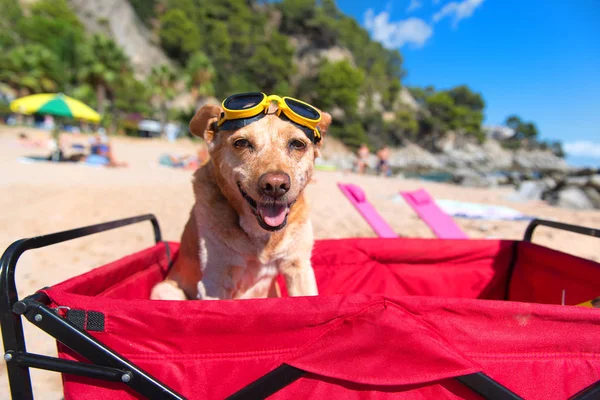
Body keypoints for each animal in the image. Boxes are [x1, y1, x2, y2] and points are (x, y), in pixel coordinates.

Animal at [148, 103, 330, 300]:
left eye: (297, 144)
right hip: (164, 289)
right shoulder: (214, 283)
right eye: (241, 143)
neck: (261, 236)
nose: (275, 185)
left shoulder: (298, 266)